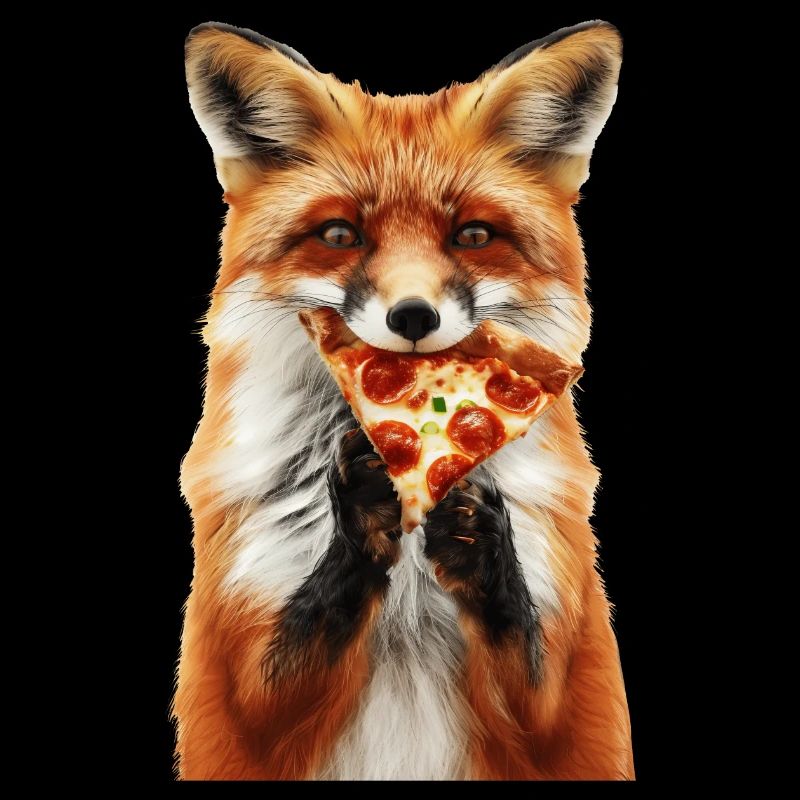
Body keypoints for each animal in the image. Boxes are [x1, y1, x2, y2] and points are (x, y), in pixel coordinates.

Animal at [174, 20, 633, 780]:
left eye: (473, 235)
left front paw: (482, 542)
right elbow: (296, 645)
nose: (413, 315)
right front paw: (359, 508)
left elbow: (530, 666)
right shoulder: (239, 686)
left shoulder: (565, 687)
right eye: (340, 235)